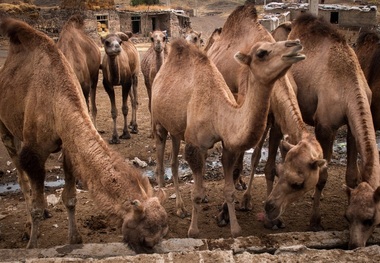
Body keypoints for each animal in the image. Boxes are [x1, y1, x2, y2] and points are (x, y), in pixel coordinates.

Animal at [0, 18, 168, 254]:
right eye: (145, 240)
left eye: (163, 233)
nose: (151, 251)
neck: (57, 102)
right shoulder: (34, 152)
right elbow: (36, 205)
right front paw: (32, 245)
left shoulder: (69, 145)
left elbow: (70, 198)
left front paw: (74, 239)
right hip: (4, 126)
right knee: (21, 175)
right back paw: (27, 227)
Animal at [151, 37, 306, 239]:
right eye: (261, 53)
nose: (295, 43)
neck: (217, 112)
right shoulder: (194, 145)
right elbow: (196, 193)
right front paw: (193, 231)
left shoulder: (228, 146)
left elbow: (229, 190)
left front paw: (235, 229)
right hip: (158, 121)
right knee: (161, 160)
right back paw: (166, 203)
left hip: (176, 129)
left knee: (174, 162)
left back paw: (181, 207)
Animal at [205, 2, 324, 231]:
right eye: (261, 53)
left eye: (299, 183)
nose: (296, 44)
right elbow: (235, 165)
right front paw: (224, 213)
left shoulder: (276, 122)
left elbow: (266, 167)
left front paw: (273, 220)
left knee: (255, 154)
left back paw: (246, 197)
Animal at [268, 13, 380, 245]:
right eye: (348, 217)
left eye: (370, 219)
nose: (354, 245)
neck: (348, 84)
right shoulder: (325, 126)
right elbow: (322, 178)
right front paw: (315, 221)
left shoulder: (351, 127)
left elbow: (351, 176)